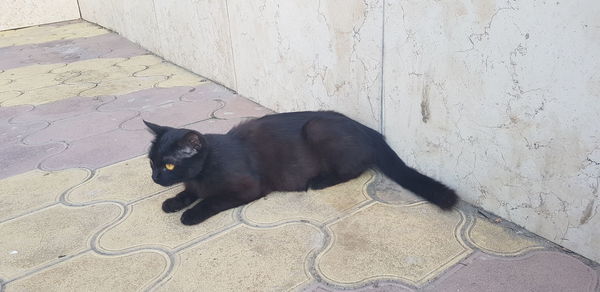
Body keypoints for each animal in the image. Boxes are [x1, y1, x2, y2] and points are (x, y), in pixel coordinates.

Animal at [144, 110, 454, 225]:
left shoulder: (247, 188)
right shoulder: (193, 183)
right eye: (152, 162)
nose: (155, 178)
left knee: (353, 170)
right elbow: (188, 192)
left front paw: (190, 214)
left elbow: (211, 200)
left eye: (169, 164)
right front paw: (173, 202)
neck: (204, 169)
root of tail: (371, 131)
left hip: (318, 128)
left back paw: (318, 181)